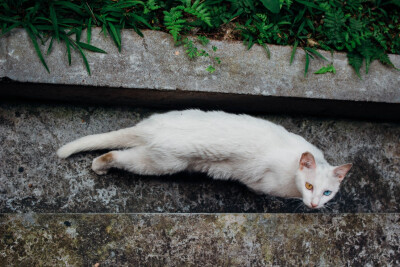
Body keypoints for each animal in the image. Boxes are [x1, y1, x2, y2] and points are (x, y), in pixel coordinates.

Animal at [57, 110, 352, 210]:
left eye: (327, 192)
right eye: (309, 186)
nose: (315, 204)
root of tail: (151, 127)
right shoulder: (264, 184)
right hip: (160, 164)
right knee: (116, 154)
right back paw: (99, 166)